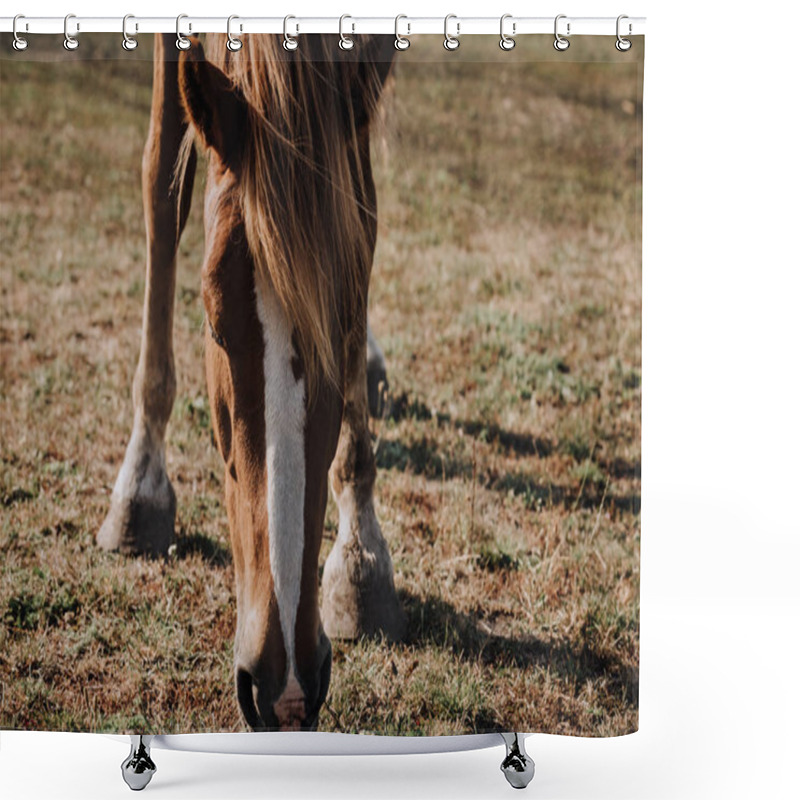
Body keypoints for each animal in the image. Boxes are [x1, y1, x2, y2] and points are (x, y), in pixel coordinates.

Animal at [96, 36, 404, 732]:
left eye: (347, 320)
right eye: (212, 323)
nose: (283, 686)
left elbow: (364, 207)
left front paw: (360, 554)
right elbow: (162, 180)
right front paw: (141, 483)